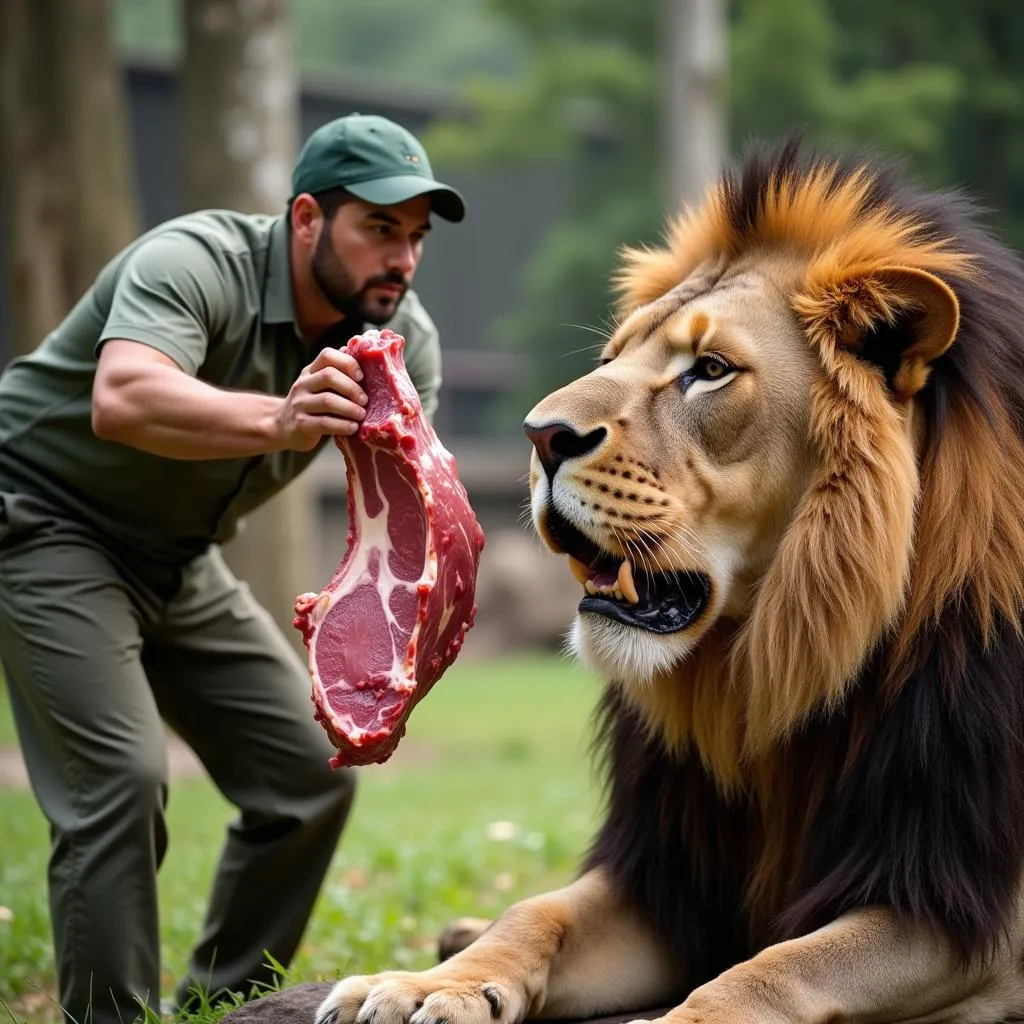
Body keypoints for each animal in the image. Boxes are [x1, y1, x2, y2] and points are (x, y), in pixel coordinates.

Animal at [315, 140, 1024, 1024]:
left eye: (710, 370)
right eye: (613, 359)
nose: (540, 436)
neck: (771, 674)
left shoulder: (966, 911)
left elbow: (779, 965)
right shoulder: (669, 879)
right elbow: (535, 914)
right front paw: (425, 984)